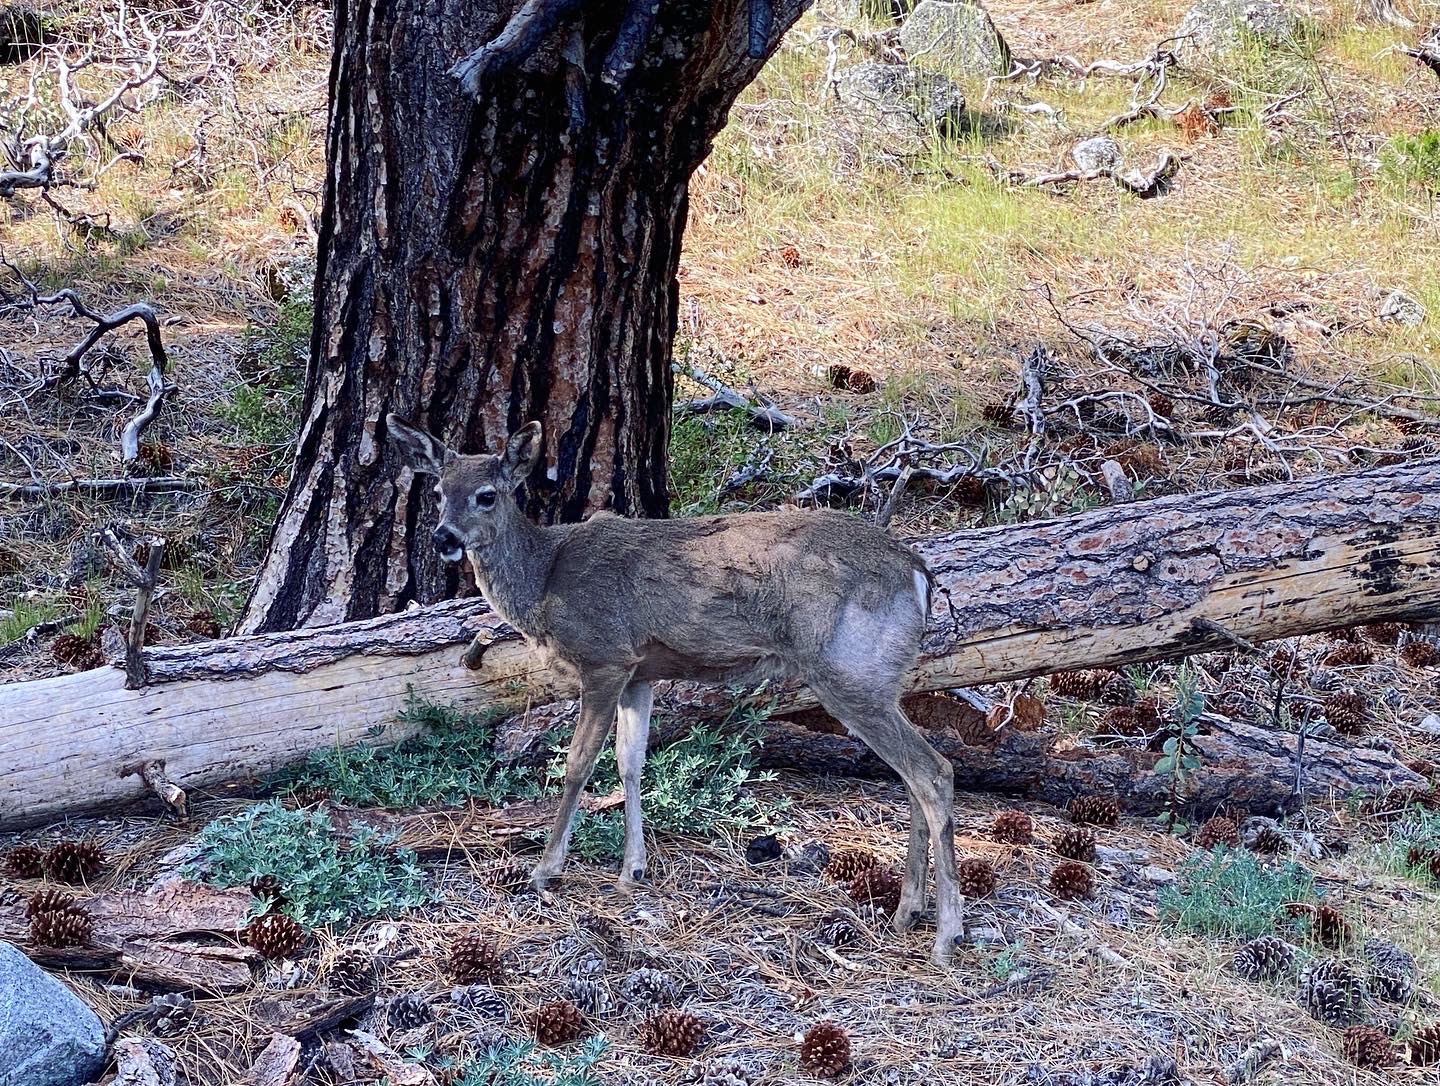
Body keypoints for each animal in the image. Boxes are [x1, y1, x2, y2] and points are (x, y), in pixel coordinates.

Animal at [388, 414, 961, 962]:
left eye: (487, 494)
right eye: (438, 491)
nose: (444, 538)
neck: (546, 581)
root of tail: (918, 572)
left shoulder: (604, 656)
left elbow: (578, 763)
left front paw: (546, 870)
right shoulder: (640, 671)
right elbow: (630, 762)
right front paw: (632, 871)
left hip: (847, 670)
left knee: (932, 771)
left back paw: (946, 934)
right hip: (881, 677)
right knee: (914, 775)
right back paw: (907, 912)